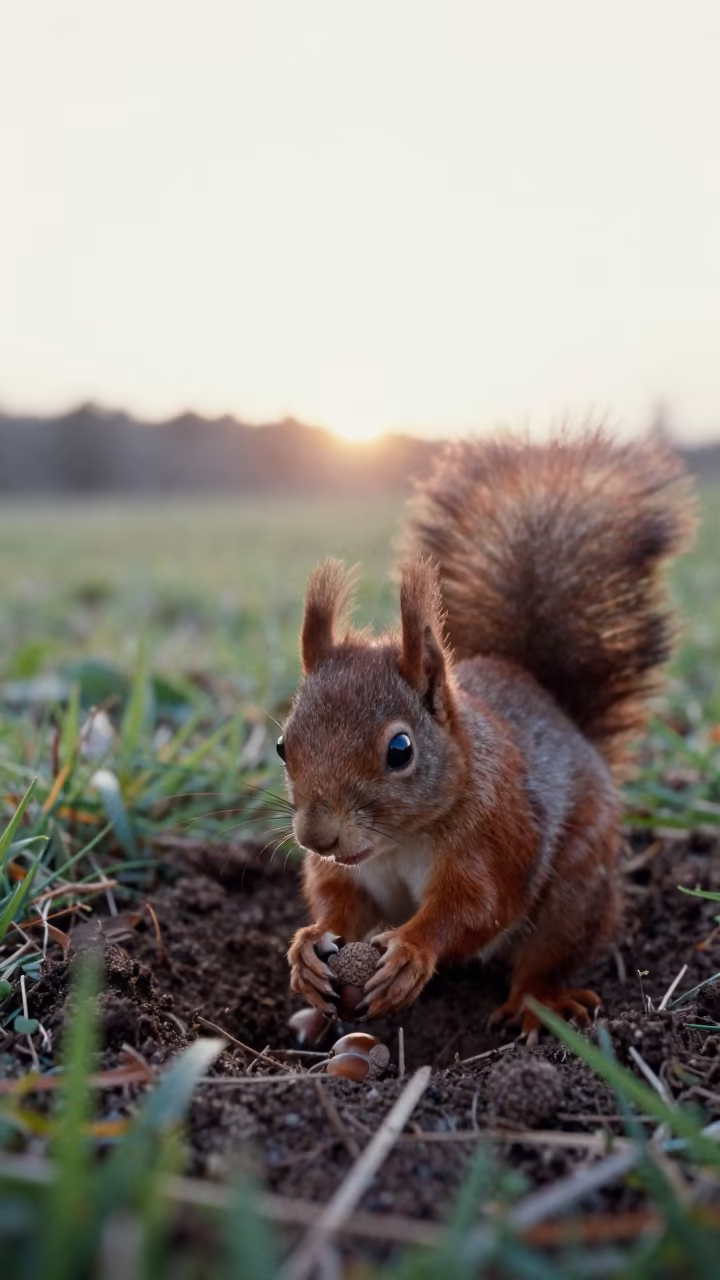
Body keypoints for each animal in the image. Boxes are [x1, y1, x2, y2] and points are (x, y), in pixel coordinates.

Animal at [281, 428, 695, 1034]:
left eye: (400, 749)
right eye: (283, 746)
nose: (317, 837)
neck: (400, 842)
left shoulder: (497, 834)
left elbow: (477, 907)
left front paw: (411, 952)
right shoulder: (353, 874)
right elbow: (338, 899)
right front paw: (309, 948)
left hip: (576, 892)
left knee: (549, 954)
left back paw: (538, 1003)